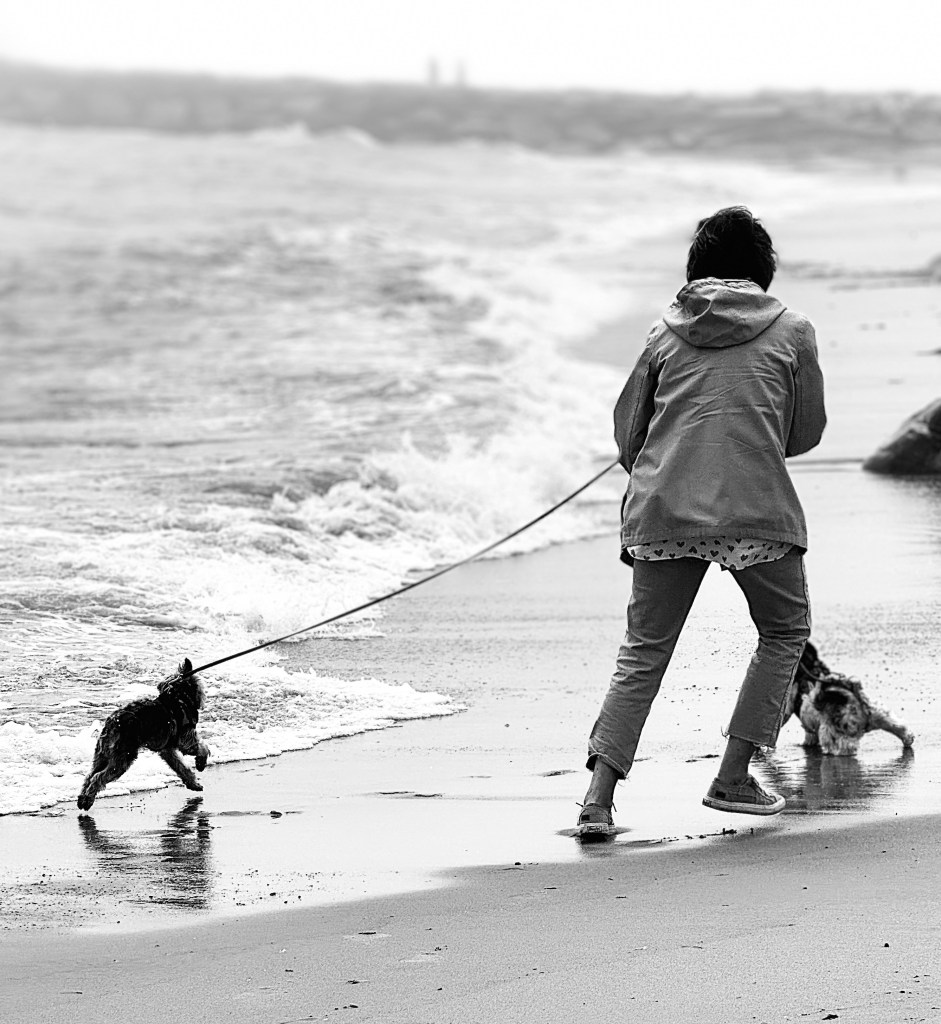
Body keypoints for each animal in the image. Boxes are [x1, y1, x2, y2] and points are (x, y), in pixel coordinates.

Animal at [77, 658, 210, 811]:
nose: (203, 699)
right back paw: (88, 800)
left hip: (102, 754)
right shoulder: (186, 740)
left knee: (89, 776)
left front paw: (193, 784)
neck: (178, 697)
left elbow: (180, 766)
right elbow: (202, 747)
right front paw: (201, 763)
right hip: (123, 758)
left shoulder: (167, 750)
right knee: (97, 778)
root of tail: (113, 723)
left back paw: (82, 799)